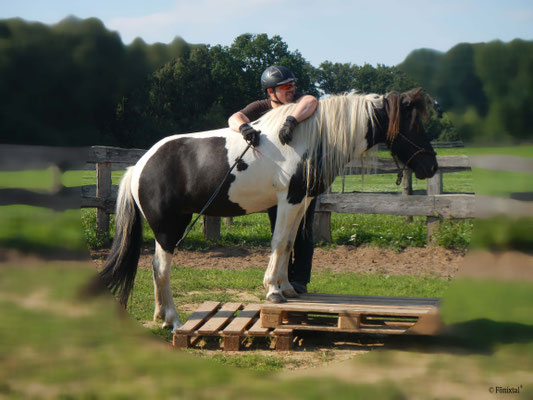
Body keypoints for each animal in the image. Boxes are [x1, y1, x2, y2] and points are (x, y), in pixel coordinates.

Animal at [98, 88, 436, 332]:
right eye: (413, 125)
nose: (431, 166)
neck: (308, 138)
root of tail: (139, 166)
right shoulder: (289, 199)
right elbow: (280, 242)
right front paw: (273, 289)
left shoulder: (300, 202)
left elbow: (289, 245)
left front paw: (286, 288)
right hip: (170, 228)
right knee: (161, 267)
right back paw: (175, 319)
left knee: (156, 269)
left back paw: (161, 316)